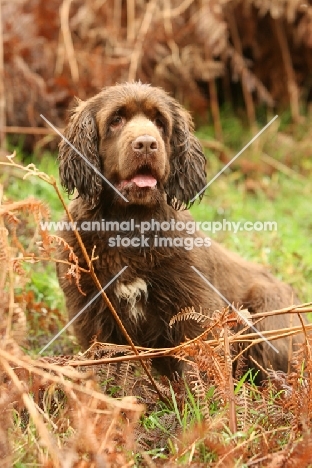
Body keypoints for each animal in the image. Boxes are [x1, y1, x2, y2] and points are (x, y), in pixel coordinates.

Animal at [56, 81, 302, 380]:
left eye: (160, 122)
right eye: (116, 120)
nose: (146, 144)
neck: (130, 222)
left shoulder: (195, 305)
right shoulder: (90, 310)